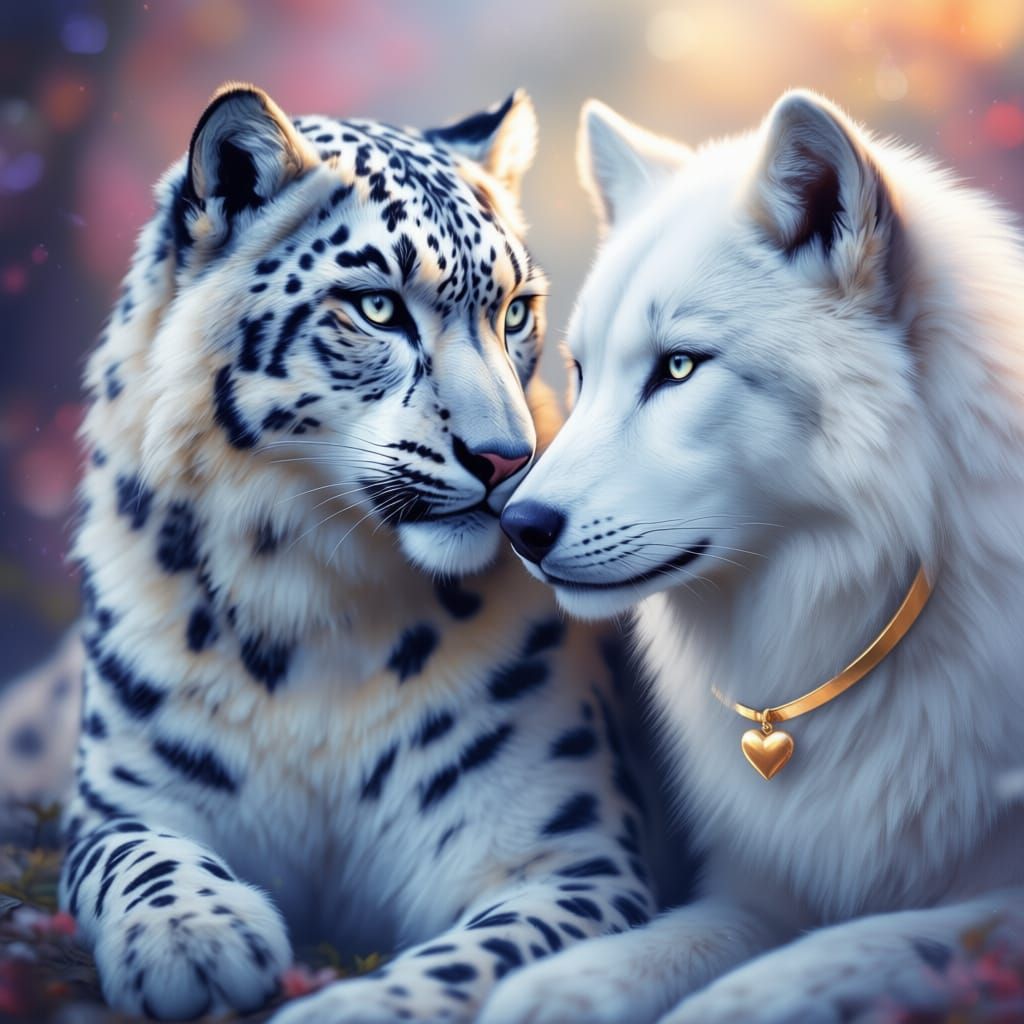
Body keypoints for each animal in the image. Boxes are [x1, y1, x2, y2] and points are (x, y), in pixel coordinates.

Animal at [484, 90, 1024, 1023]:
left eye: (678, 367)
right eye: (582, 373)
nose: (520, 525)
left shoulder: (994, 897)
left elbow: (850, 948)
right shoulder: (756, 887)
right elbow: (661, 945)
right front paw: (544, 989)